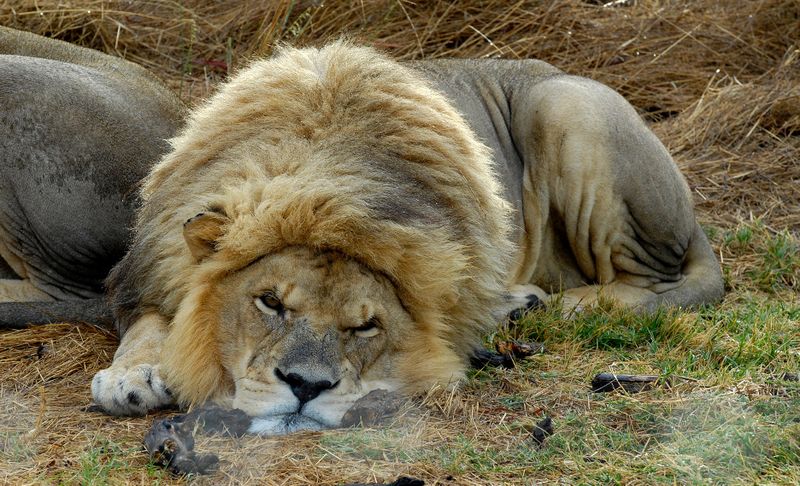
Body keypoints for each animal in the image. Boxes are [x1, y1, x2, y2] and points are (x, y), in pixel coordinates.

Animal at [85, 42, 723, 434]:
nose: (306, 387)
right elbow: (148, 324)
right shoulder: (149, 267)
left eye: (365, 325)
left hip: (566, 104)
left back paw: (557, 306)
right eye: (270, 302)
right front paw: (131, 376)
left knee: (651, 282)